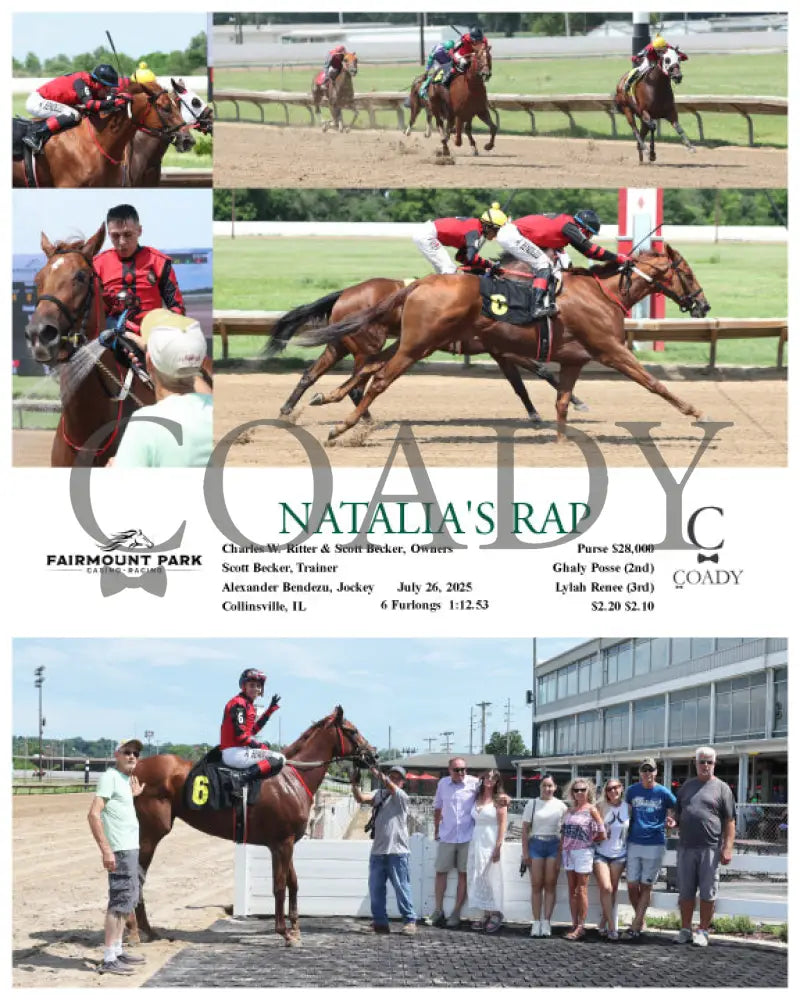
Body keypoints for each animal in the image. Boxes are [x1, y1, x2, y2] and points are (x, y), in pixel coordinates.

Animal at [128, 707, 376, 945]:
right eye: (352, 731)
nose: (372, 753)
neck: (292, 778)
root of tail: (135, 769)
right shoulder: (282, 843)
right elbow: (279, 886)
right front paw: (284, 933)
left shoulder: (284, 844)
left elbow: (293, 883)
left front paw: (295, 929)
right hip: (151, 833)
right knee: (135, 877)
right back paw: (140, 932)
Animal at [267, 276, 586, 422]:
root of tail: (344, 292)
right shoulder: (502, 350)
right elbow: (536, 374)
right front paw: (566, 405)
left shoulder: (500, 351)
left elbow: (525, 380)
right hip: (366, 345)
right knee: (357, 384)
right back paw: (364, 417)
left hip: (340, 344)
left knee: (311, 374)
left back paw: (288, 408)